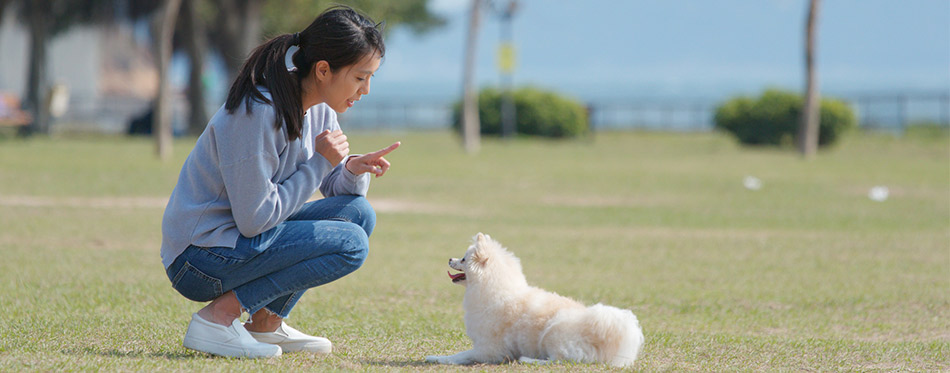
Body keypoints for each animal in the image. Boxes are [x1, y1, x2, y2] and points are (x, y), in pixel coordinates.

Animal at [430, 232, 648, 366]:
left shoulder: (488, 349)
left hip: (553, 333)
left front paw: (436, 357)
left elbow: (460, 355)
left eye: (463, 259)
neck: (495, 289)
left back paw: (527, 359)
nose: (449, 259)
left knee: (560, 360)